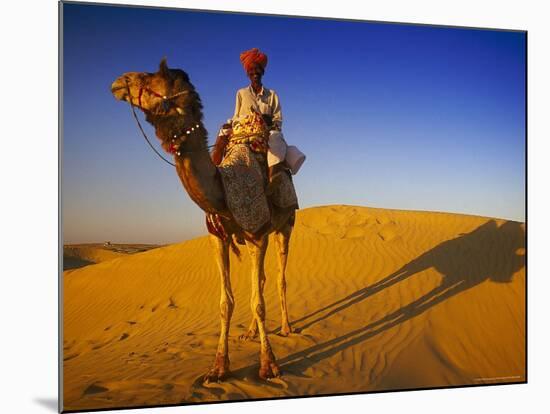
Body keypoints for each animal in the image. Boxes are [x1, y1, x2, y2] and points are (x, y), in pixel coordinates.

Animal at [111, 58, 298, 382]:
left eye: (153, 77)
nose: (120, 81)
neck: (223, 188)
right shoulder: (218, 237)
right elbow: (227, 302)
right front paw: (218, 368)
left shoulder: (256, 233)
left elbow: (259, 303)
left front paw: (269, 365)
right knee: (261, 280)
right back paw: (250, 333)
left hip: (285, 226)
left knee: (279, 277)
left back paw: (286, 327)